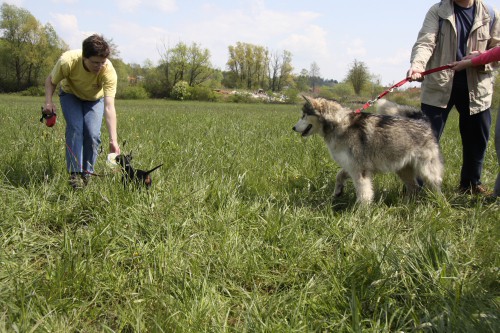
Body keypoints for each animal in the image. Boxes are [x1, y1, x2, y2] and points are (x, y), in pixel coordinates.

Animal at [292, 96, 442, 204]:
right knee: (414, 188)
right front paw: (338, 191)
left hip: (426, 170)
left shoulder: (360, 170)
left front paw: (360, 213)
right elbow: (339, 175)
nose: (293, 128)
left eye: (304, 115)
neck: (339, 124)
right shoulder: (351, 166)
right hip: (403, 169)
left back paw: (439, 203)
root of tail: (423, 121)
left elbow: (364, 193)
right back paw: (406, 204)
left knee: (435, 185)